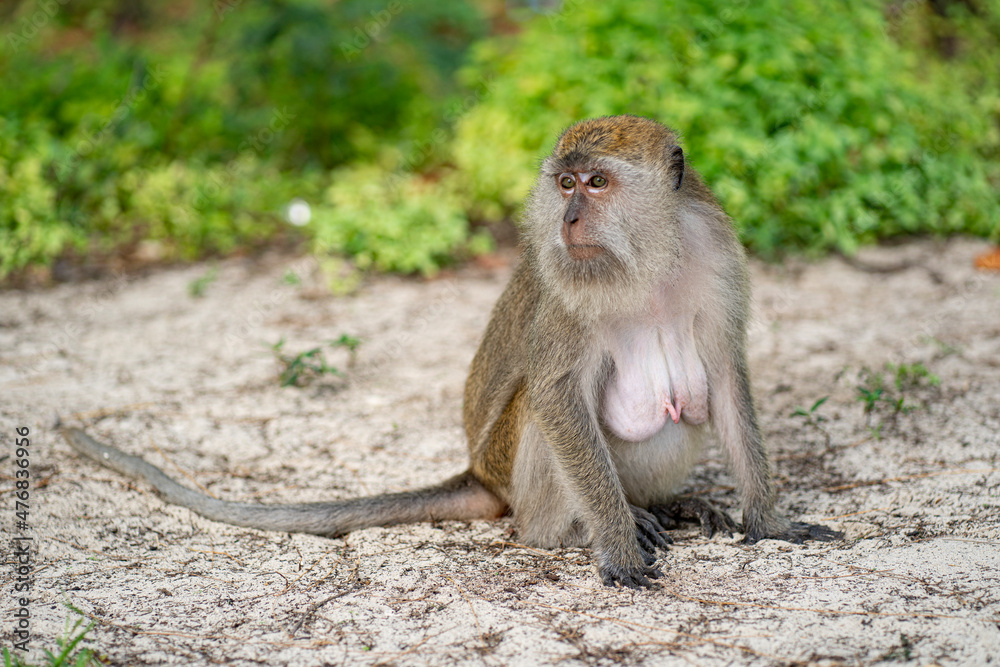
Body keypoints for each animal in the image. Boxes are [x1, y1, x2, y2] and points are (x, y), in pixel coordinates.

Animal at [62, 115, 841, 589]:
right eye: (565, 183)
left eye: (597, 182)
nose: (568, 218)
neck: (648, 257)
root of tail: (480, 471)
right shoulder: (563, 290)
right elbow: (556, 394)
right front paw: (616, 545)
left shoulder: (718, 256)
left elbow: (726, 377)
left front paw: (768, 522)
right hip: (510, 469)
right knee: (543, 417)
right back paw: (576, 530)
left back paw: (666, 505)